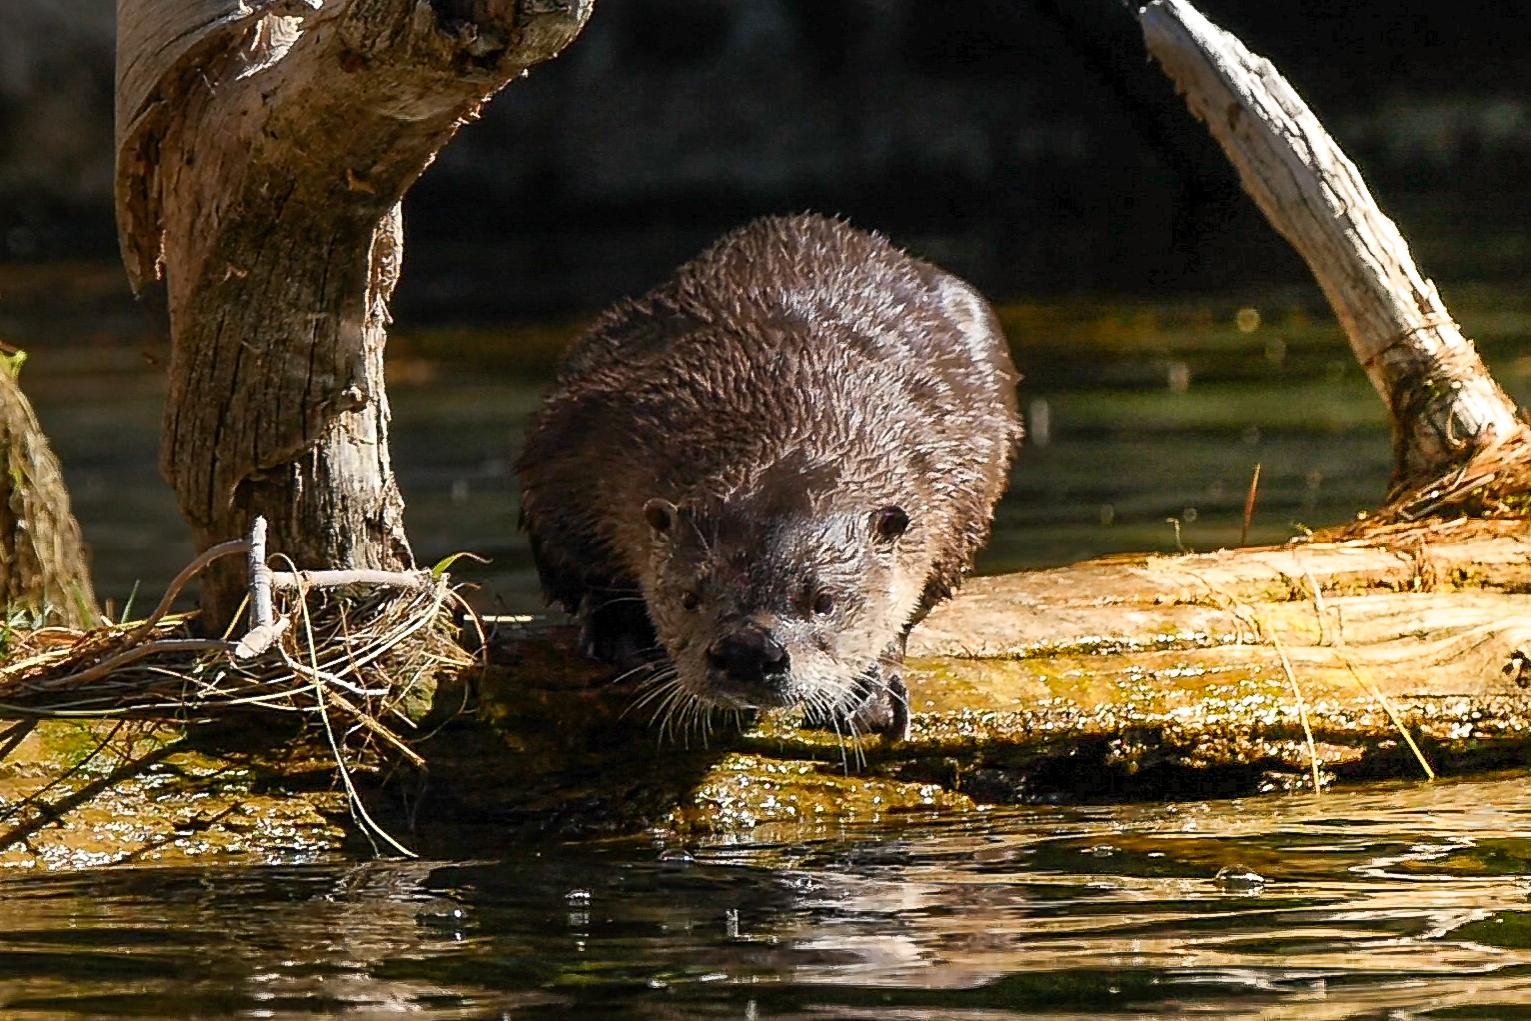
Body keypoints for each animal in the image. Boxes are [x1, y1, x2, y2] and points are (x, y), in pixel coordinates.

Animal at [516, 215, 1021, 741]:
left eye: (824, 601)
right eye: (689, 597)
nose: (748, 651)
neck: (796, 396)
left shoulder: (956, 473)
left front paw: (870, 690)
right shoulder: (575, 439)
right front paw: (622, 627)